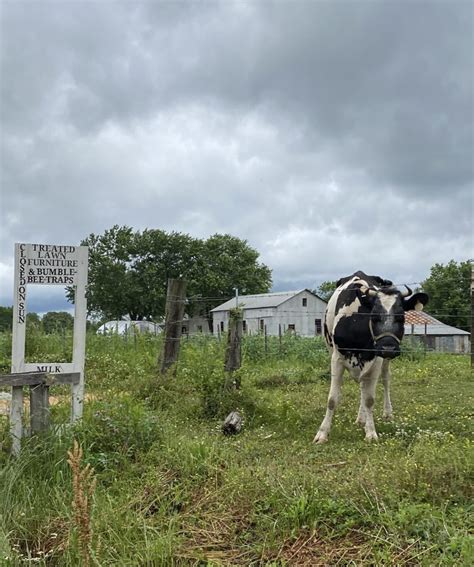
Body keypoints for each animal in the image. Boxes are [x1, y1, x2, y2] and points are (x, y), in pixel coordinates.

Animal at [314, 270, 430, 444]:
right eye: (374, 316)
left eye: (401, 317)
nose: (388, 348)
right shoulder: (336, 359)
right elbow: (332, 399)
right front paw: (322, 434)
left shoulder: (376, 360)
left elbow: (369, 399)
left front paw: (370, 433)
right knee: (363, 386)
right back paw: (361, 419)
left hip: (382, 363)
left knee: (385, 380)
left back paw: (386, 413)